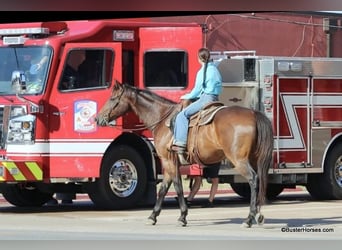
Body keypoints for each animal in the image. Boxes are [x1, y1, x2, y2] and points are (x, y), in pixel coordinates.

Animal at [95, 82, 274, 229]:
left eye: (113, 98)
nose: (97, 119)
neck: (162, 119)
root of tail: (253, 114)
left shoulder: (169, 161)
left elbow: (177, 187)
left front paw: (182, 216)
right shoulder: (168, 164)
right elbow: (163, 189)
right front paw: (153, 216)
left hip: (239, 160)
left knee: (253, 179)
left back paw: (249, 219)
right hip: (254, 159)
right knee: (260, 180)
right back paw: (258, 215)